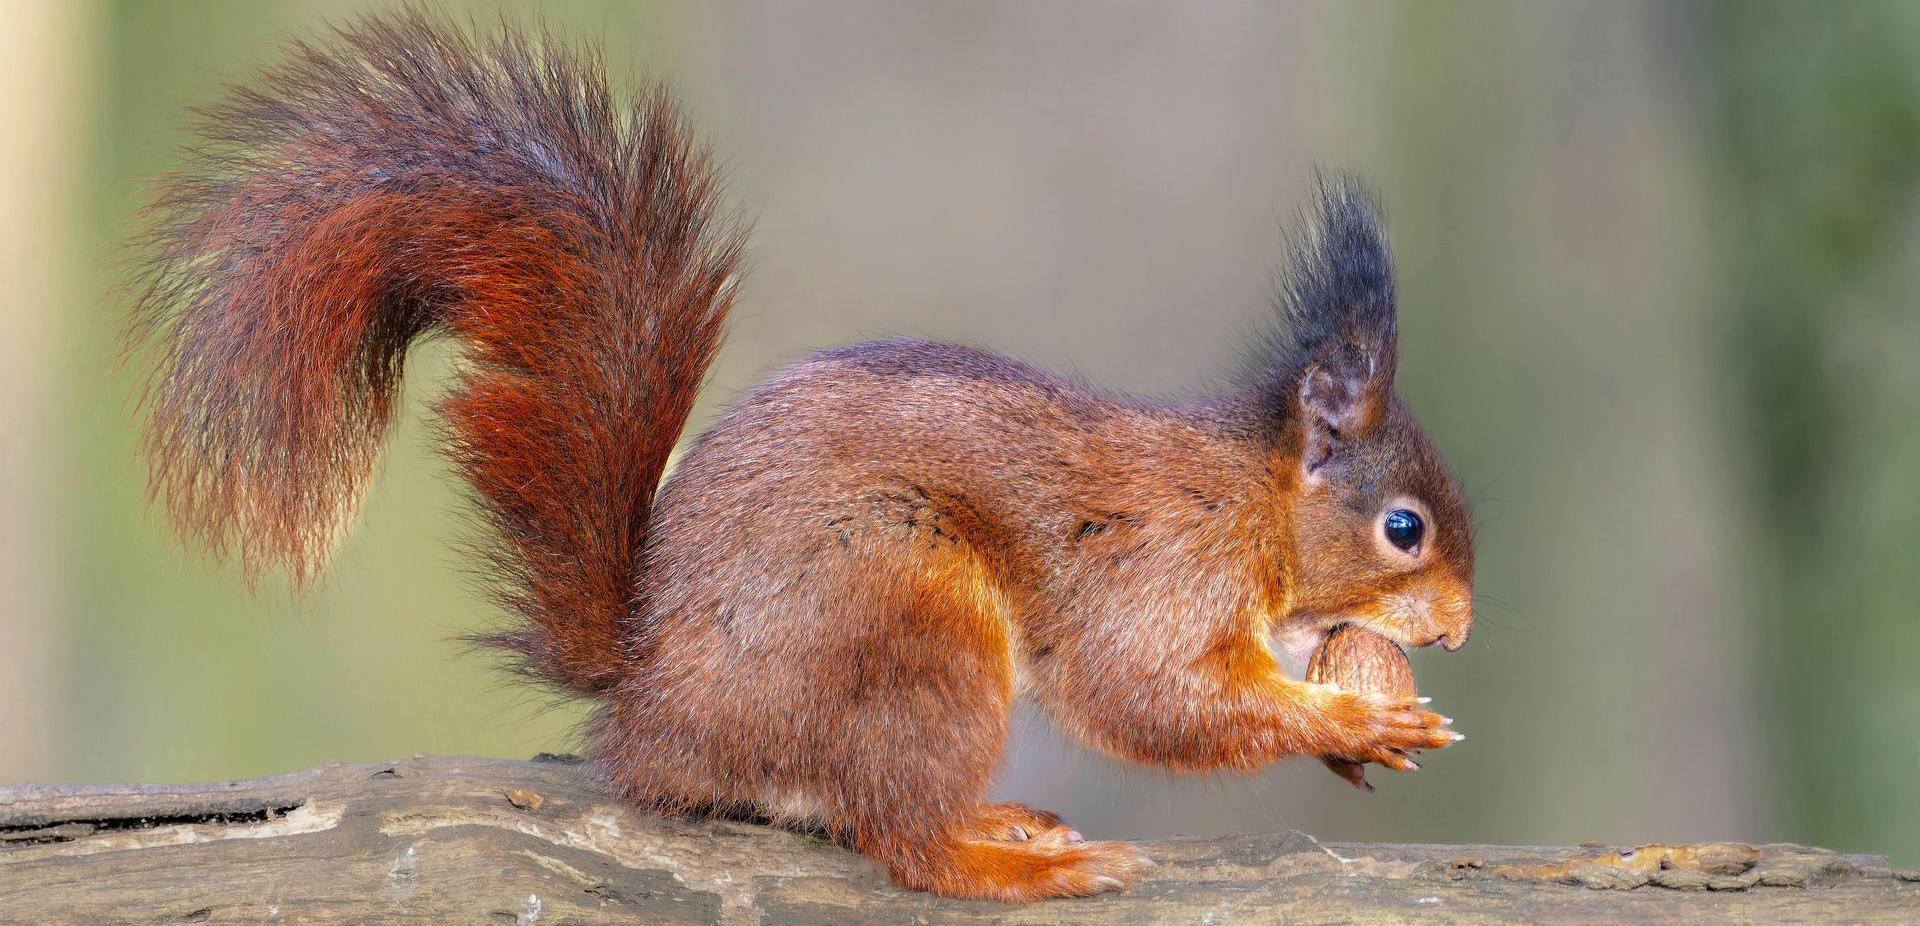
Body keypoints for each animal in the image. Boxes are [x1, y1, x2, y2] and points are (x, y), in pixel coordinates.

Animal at [126, 12, 1474, 902]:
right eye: (1402, 526)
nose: (1459, 630)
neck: (1250, 501)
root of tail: (655, 704)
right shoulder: (1160, 570)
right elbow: (1149, 693)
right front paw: (1349, 720)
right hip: (909, 618)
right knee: (902, 836)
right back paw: (1009, 860)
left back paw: (1007, 819)